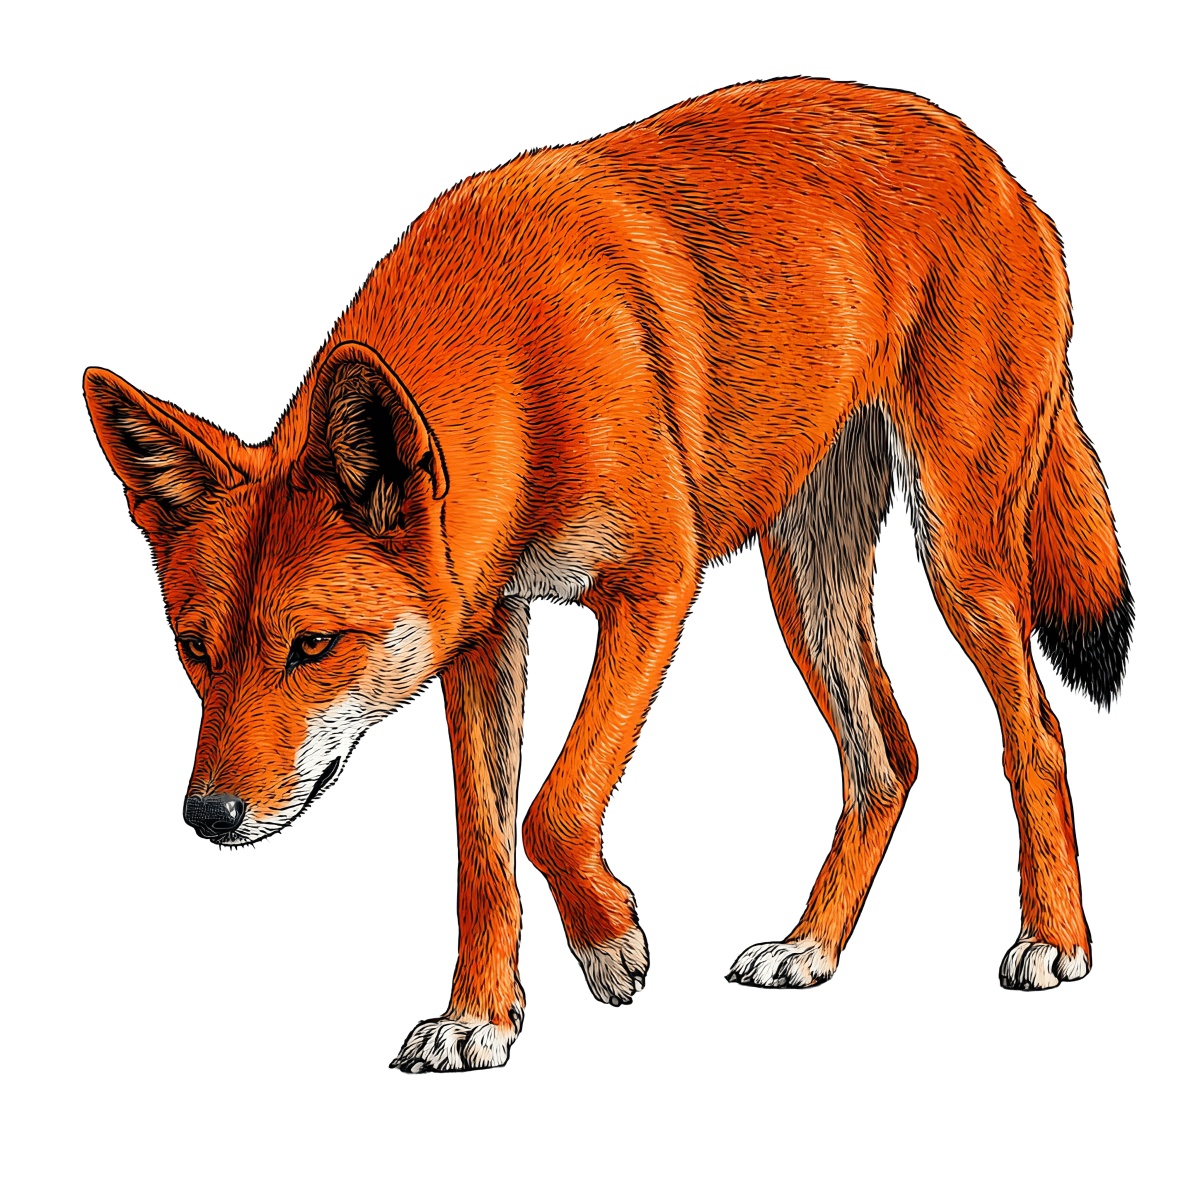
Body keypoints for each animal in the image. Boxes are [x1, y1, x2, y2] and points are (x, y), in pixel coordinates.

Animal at [84, 76, 1131, 1073]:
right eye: (194, 651)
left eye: (310, 646)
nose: (207, 815)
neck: (520, 363)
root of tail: (992, 161)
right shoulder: (484, 633)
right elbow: (483, 853)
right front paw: (480, 1019)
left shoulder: (654, 587)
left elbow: (552, 809)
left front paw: (610, 944)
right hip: (805, 582)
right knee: (888, 760)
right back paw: (812, 946)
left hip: (959, 559)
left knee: (1035, 732)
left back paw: (1054, 939)